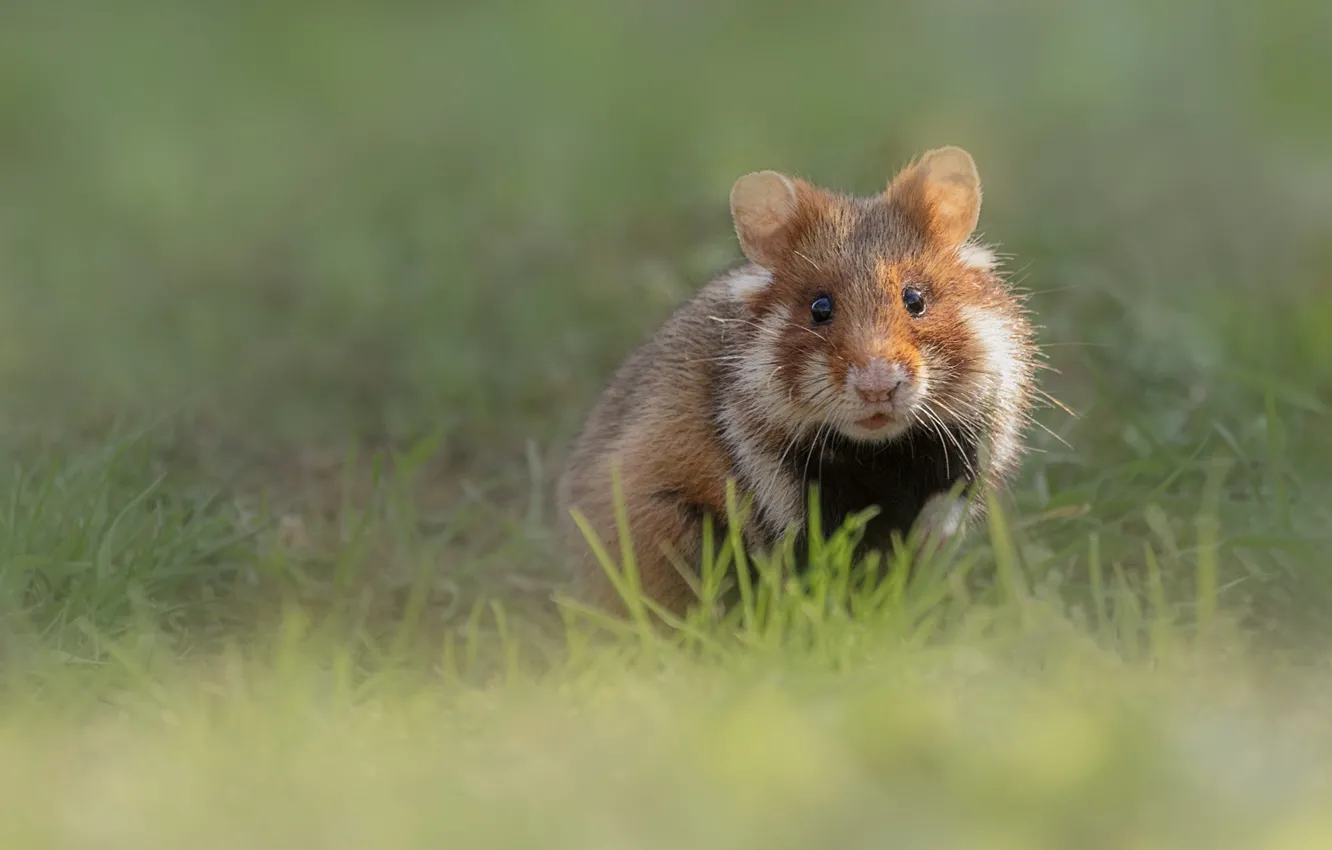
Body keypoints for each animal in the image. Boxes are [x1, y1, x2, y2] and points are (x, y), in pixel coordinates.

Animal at [556, 146, 1039, 619]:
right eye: (819, 308)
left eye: (915, 299)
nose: (877, 388)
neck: (880, 451)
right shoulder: (773, 476)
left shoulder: (970, 453)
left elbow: (939, 519)